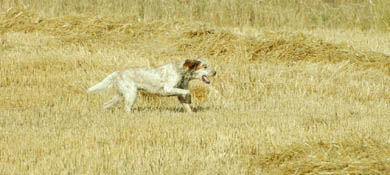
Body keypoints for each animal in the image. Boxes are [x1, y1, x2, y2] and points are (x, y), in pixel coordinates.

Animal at [87, 58, 218, 113]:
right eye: (204, 66)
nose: (215, 72)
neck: (181, 72)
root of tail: (118, 72)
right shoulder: (168, 89)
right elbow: (188, 92)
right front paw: (190, 99)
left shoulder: (179, 92)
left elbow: (186, 104)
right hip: (131, 94)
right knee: (127, 108)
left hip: (119, 96)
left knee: (105, 105)